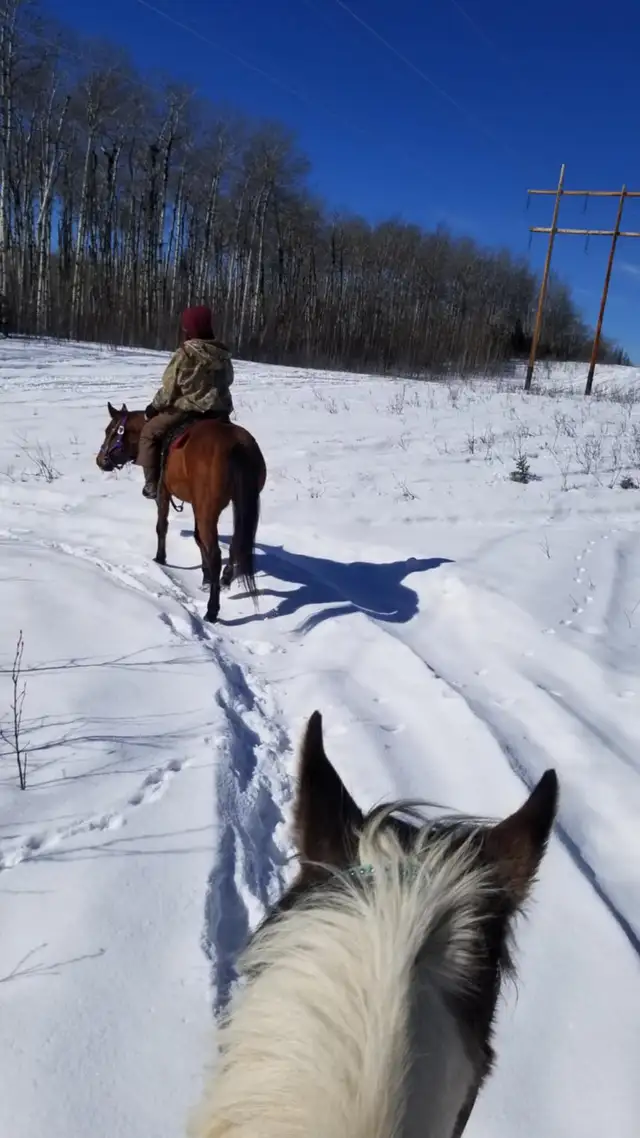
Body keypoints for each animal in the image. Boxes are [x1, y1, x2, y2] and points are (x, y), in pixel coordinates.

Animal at [96, 402, 266, 622]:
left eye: (110, 430)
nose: (100, 460)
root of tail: (236, 444)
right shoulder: (196, 504)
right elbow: (198, 538)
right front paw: (205, 577)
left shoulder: (163, 492)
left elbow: (162, 526)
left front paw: (160, 559)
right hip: (236, 503)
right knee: (236, 543)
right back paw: (225, 579)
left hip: (208, 509)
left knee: (216, 554)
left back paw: (212, 610)